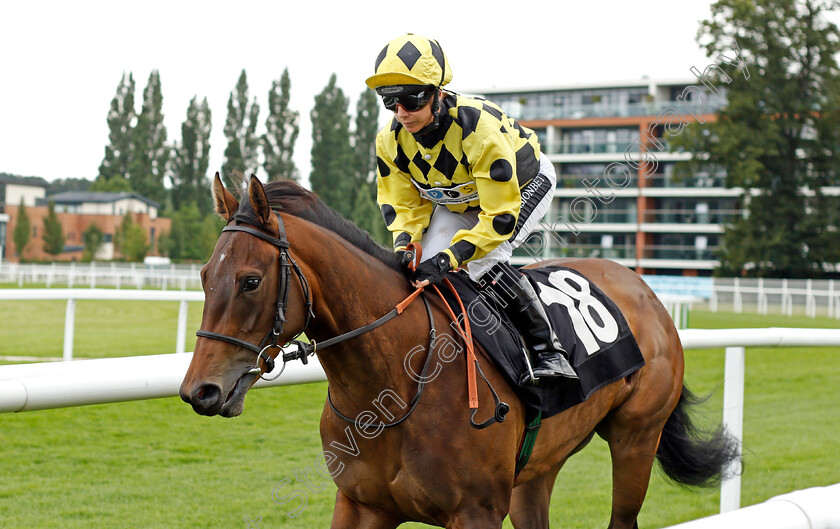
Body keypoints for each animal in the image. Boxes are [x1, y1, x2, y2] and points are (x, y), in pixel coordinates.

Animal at [180, 175, 740, 528]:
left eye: (250, 281)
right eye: (205, 276)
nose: (199, 391)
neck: (395, 388)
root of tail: (643, 288)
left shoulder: (476, 512)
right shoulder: (361, 505)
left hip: (635, 440)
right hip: (537, 470)